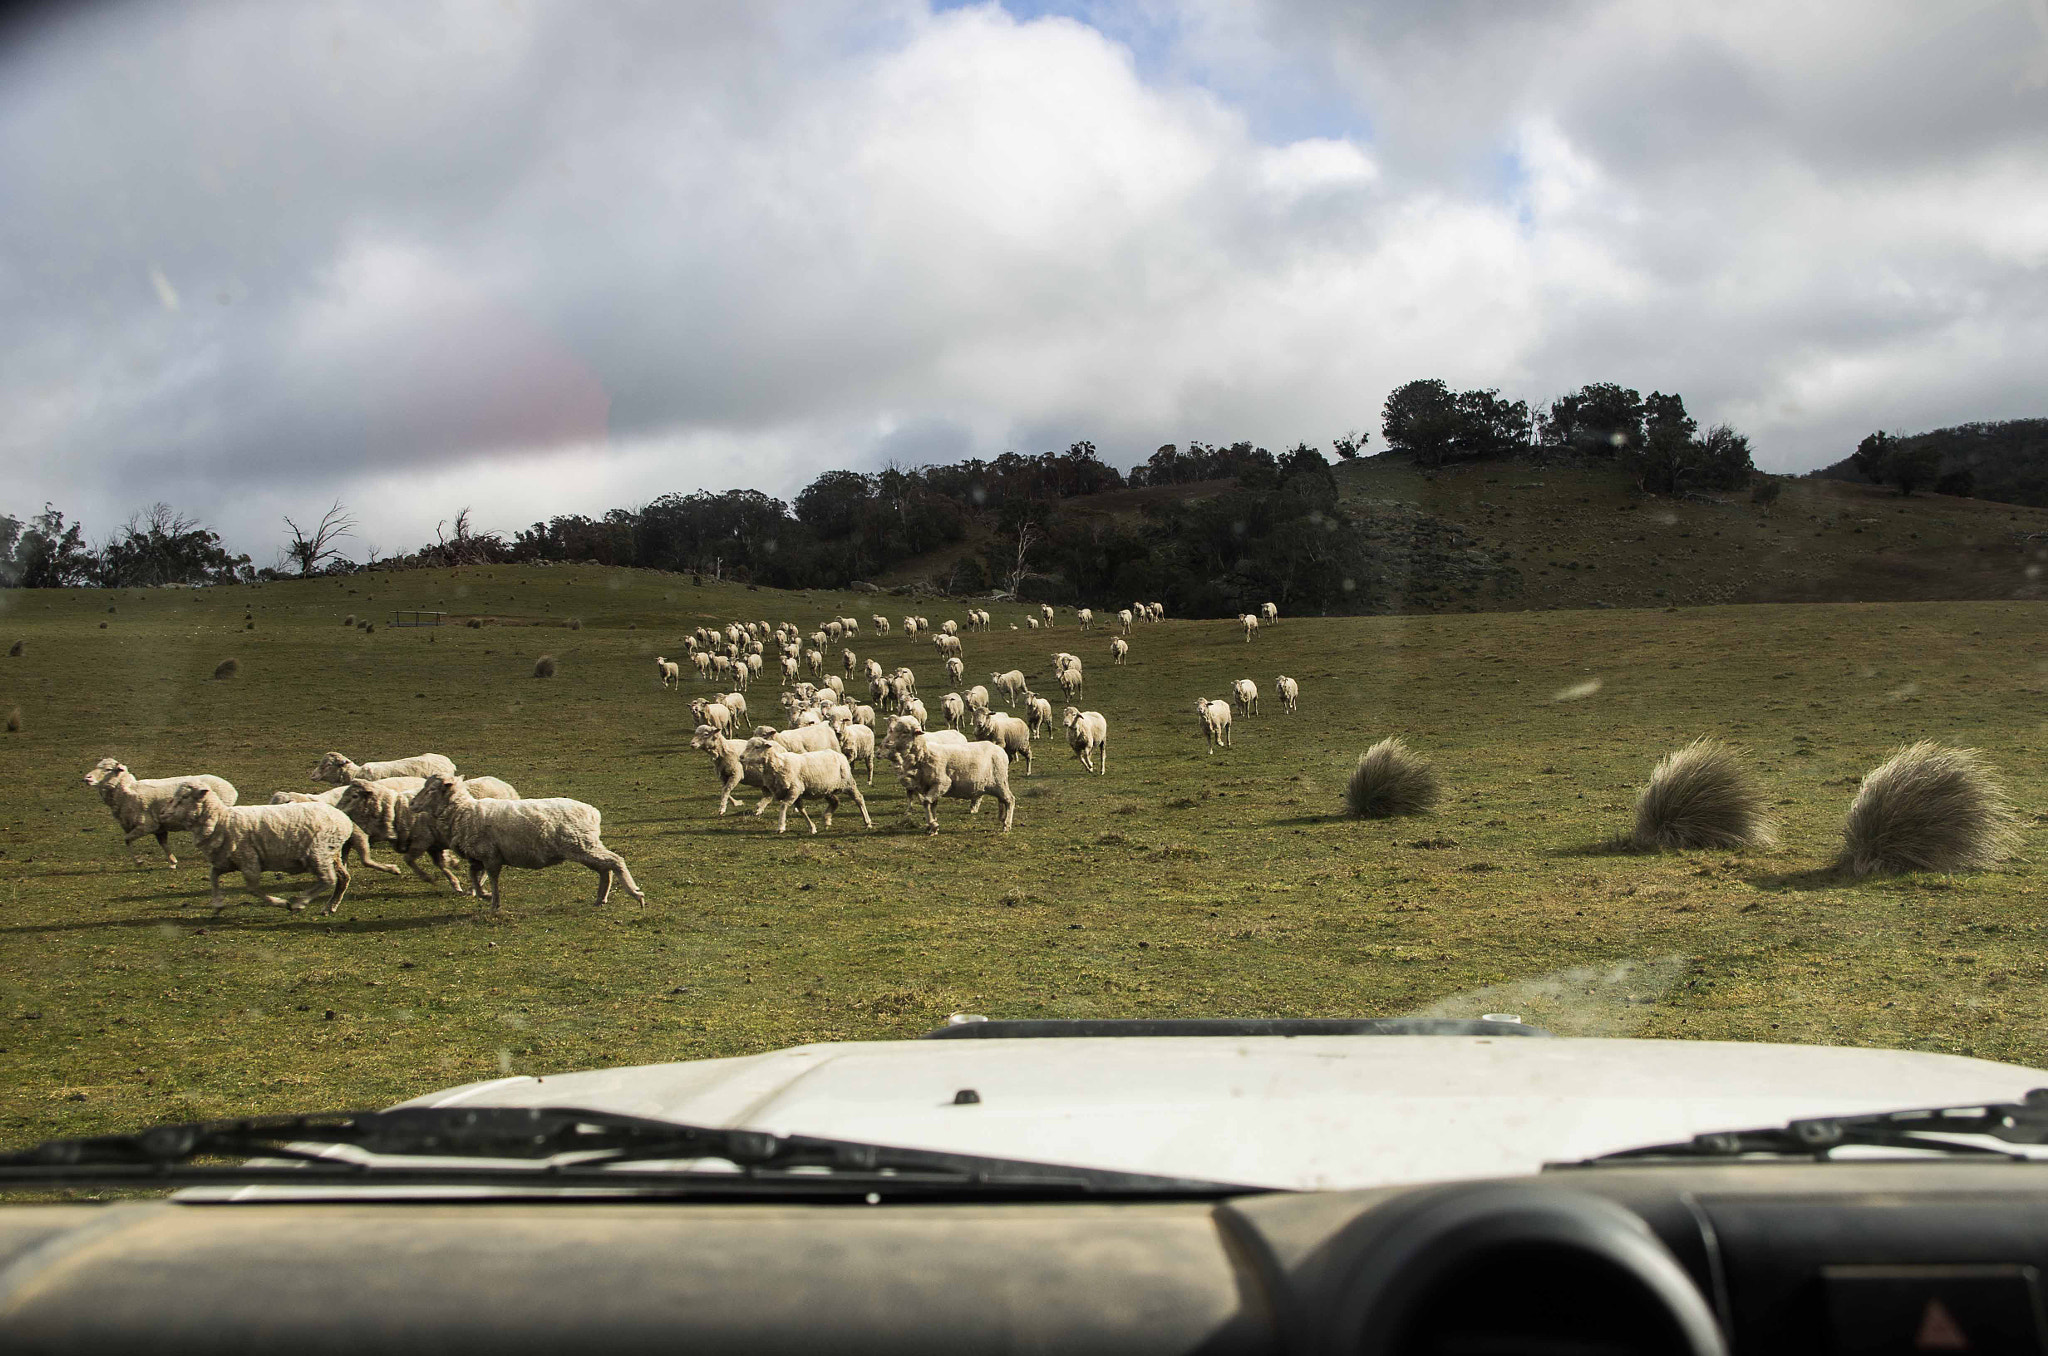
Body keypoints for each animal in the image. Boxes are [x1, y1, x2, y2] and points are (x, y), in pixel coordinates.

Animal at [83, 757, 239, 868]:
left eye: (108, 769)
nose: (87, 778)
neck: (126, 792)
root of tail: (231, 788)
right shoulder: (158, 827)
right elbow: (163, 843)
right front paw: (172, 862)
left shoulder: (146, 825)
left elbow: (126, 839)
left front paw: (138, 862)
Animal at [160, 784, 355, 914]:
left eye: (184, 798)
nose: (162, 813)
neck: (221, 819)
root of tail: (344, 819)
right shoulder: (226, 861)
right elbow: (213, 877)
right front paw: (217, 903)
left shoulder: (249, 861)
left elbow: (253, 889)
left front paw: (281, 902)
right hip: (332, 854)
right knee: (343, 878)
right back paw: (330, 907)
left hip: (319, 853)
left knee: (328, 879)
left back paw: (300, 902)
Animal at [411, 774, 644, 909]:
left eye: (431, 790)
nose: (412, 804)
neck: (463, 812)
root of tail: (593, 812)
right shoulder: (479, 857)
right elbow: (473, 876)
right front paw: (483, 894)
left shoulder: (490, 855)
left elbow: (492, 879)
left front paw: (494, 902)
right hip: (584, 847)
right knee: (605, 869)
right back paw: (600, 899)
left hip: (583, 844)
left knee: (616, 861)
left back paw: (636, 894)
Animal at [740, 738, 873, 834]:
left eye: (757, 747)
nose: (741, 757)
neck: (779, 765)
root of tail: (840, 754)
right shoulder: (794, 792)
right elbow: (802, 810)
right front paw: (812, 827)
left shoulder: (794, 789)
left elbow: (784, 806)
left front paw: (781, 826)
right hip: (827, 788)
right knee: (835, 801)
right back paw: (826, 819)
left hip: (848, 783)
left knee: (859, 798)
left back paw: (867, 822)